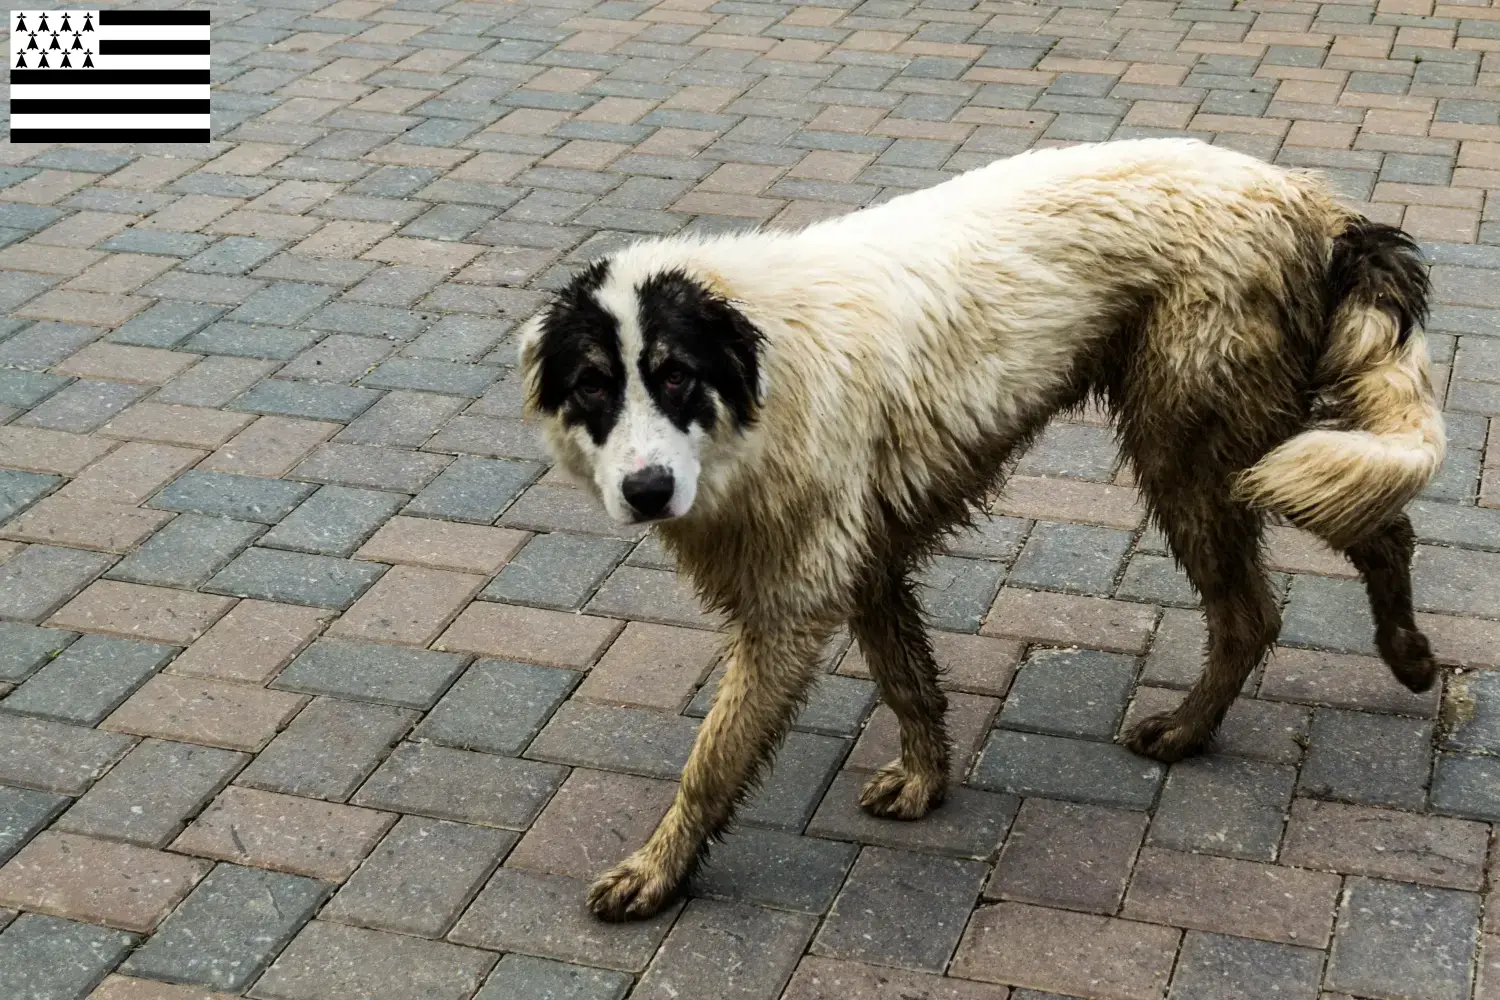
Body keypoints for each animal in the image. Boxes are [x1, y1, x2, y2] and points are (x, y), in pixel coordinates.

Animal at [516, 138, 1440, 923]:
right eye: (593, 389)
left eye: (676, 377)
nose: (646, 489)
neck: (763, 368)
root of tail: (1305, 197)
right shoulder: (866, 566)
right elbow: (910, 683)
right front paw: (929, 780)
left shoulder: (790, 607)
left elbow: (712, 764)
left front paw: (657, 869)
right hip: (1239, 449)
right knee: (1362, 532)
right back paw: (1396, 657)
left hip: (1200, 452)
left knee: (1272, 598)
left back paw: (1231, 714)